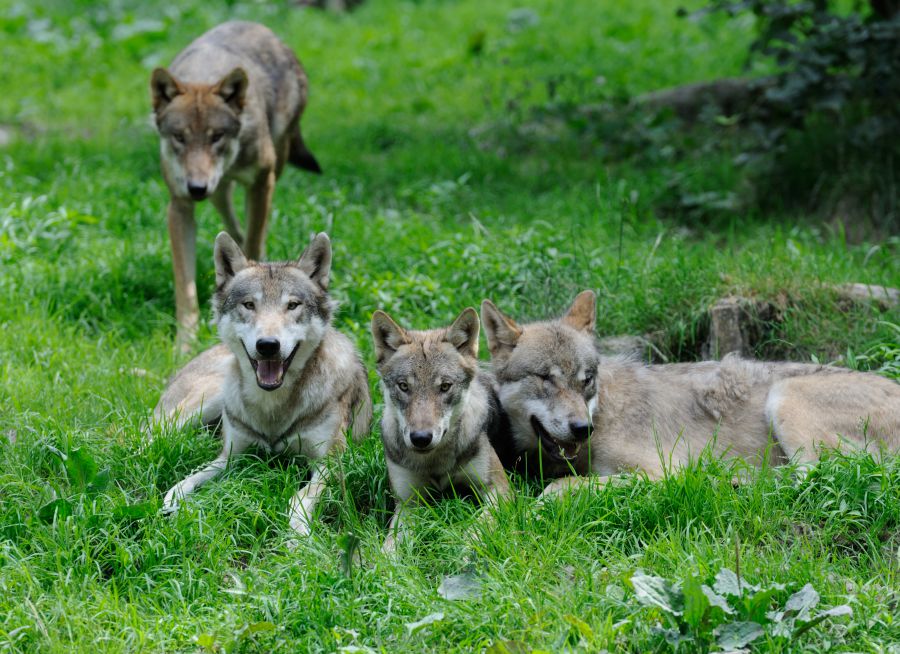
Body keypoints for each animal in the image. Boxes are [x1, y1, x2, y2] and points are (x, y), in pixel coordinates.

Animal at [152, 20, 324, 346]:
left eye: (216, 136)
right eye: (179, 137)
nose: (197, 187)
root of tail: (262, 29)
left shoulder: (261, 183)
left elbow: (255, 240)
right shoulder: (179, 205)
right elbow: (185, 285)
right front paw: (185, 343)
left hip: (274, 164)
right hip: (219, 192)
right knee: (231, 223)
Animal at [153, 231, 370, 540]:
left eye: (292, 305)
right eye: (249, 305)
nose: (268, 345)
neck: (273, 408)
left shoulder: (329, 462)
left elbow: (299, 499)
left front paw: (297, 536)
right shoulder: (230, 456)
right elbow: (190, 479)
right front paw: (173, 500)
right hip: (206, 402)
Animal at [370, 308, 510, 552]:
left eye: (445, 386)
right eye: (404, 386)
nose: (421, 438)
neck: (435, 463)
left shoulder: (499, 490)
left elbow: (476, 529)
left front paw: (463, 553)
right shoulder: (408, 502)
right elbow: (390, 547)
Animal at [482, 292, 900, 498]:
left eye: (586, 380)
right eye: (545, 378)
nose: (581, 428)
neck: (604, 414)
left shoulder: (657, 473)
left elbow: (554, 489)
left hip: (785, 398)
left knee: (817, 475)